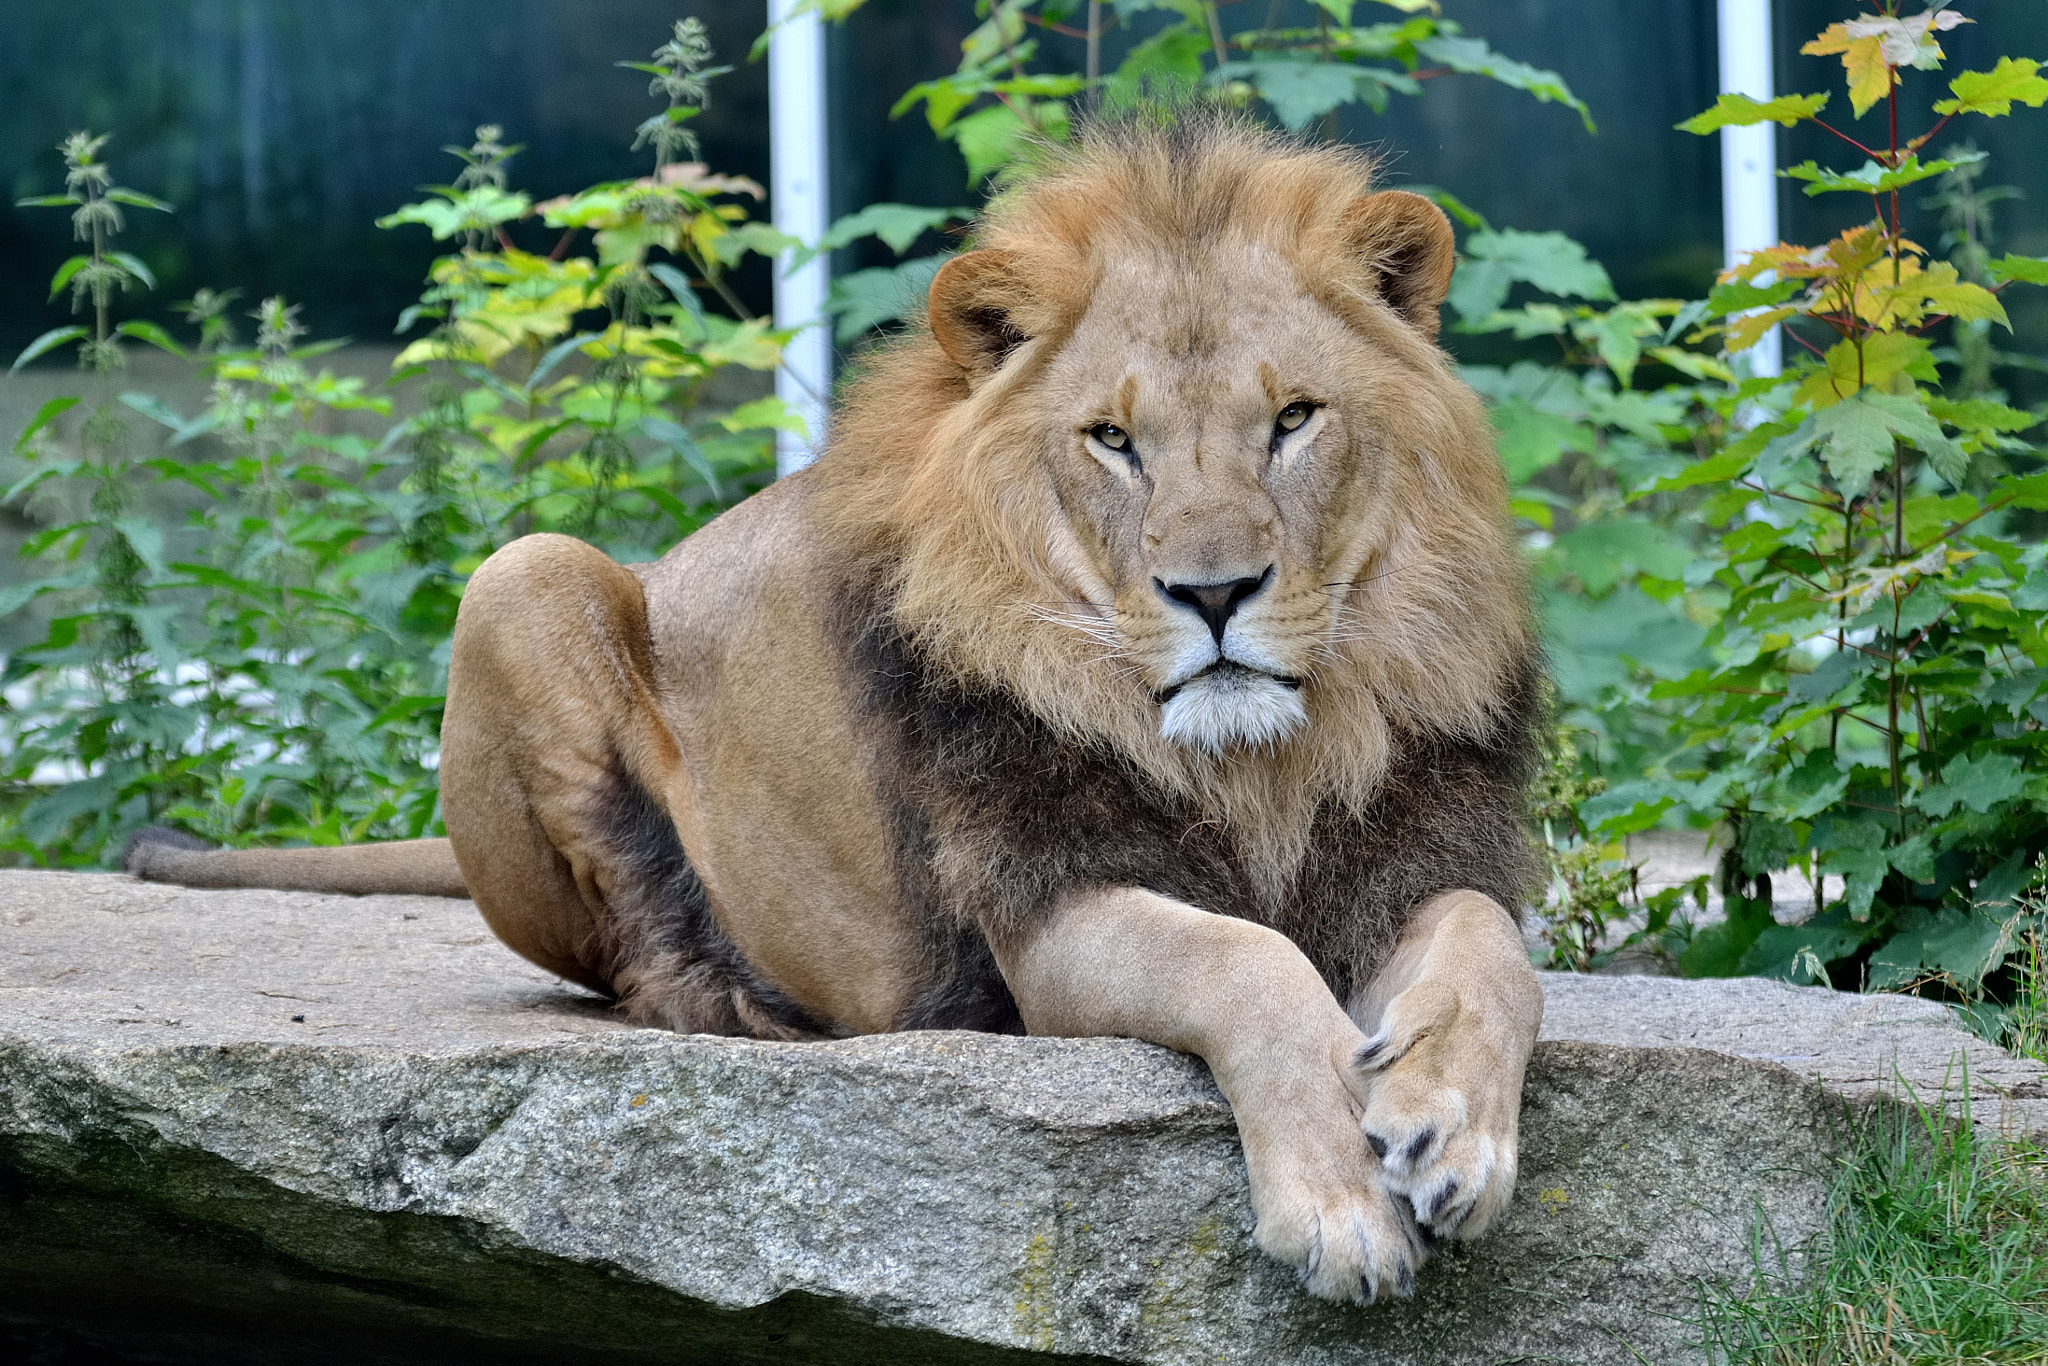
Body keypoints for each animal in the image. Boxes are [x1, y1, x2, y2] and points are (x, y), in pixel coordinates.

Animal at [123, 120, 1540, 1310]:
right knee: (625, 950)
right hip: (522, 575)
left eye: (1292, 419)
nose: (1212, 591)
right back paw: (736, 1002)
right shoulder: (1044, 915)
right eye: (1111, 440)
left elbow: (1491, 951)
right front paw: (1343, 1205)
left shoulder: (1405, 853)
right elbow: (1242, 961)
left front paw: (1449, 1135)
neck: (1260, 766)